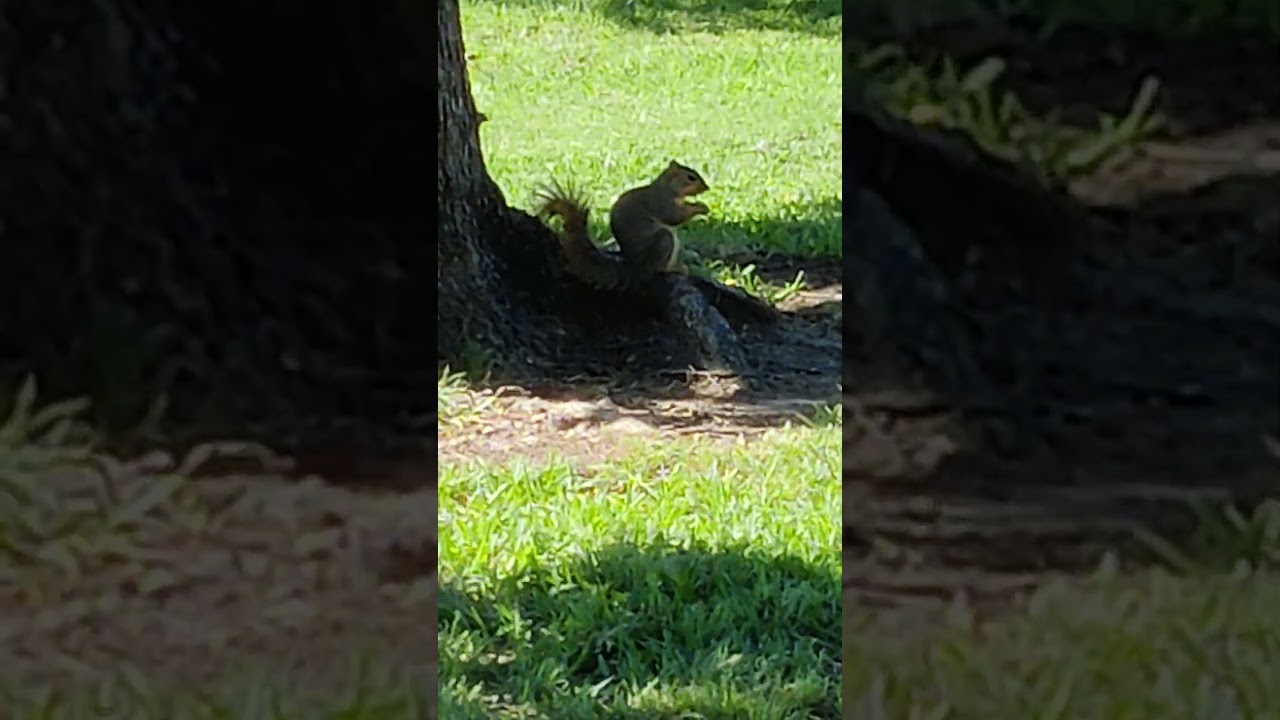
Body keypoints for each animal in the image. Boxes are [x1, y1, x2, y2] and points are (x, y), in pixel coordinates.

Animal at [535, 161, 710, 290]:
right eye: (691, 177)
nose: (707, 188)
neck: (668, 187)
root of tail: (636, 266)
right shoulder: (660, 201)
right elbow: (673, 216)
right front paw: (700, 207)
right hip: (664, 240)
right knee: (657, 269)